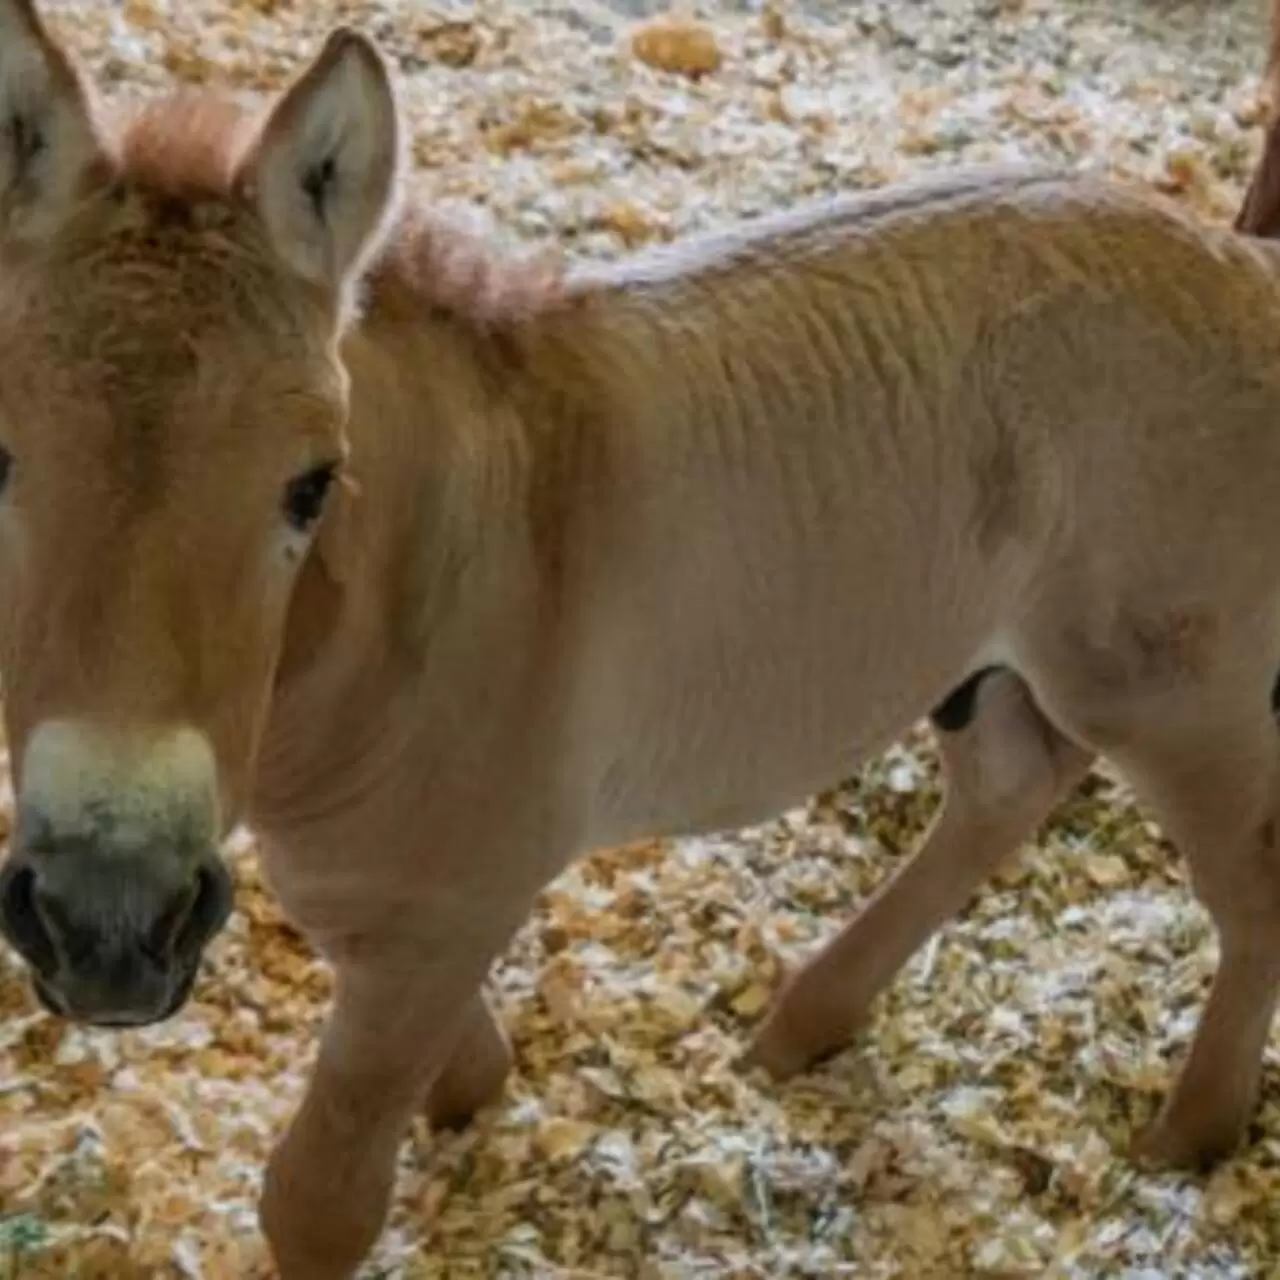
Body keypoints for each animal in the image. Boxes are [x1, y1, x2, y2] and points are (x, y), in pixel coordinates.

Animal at [0, 0, 1280, 1274]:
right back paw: (805, 1021)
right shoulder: (373, 894)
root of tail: (1244, 272)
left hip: (1175, 697)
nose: (105, 917)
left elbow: (320, 1195)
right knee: (1009, 785)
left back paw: (1189, 1132)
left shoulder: (447, 906)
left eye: (313, 485)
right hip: (982, 665)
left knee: (1246, 878)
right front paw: (475, 1093)